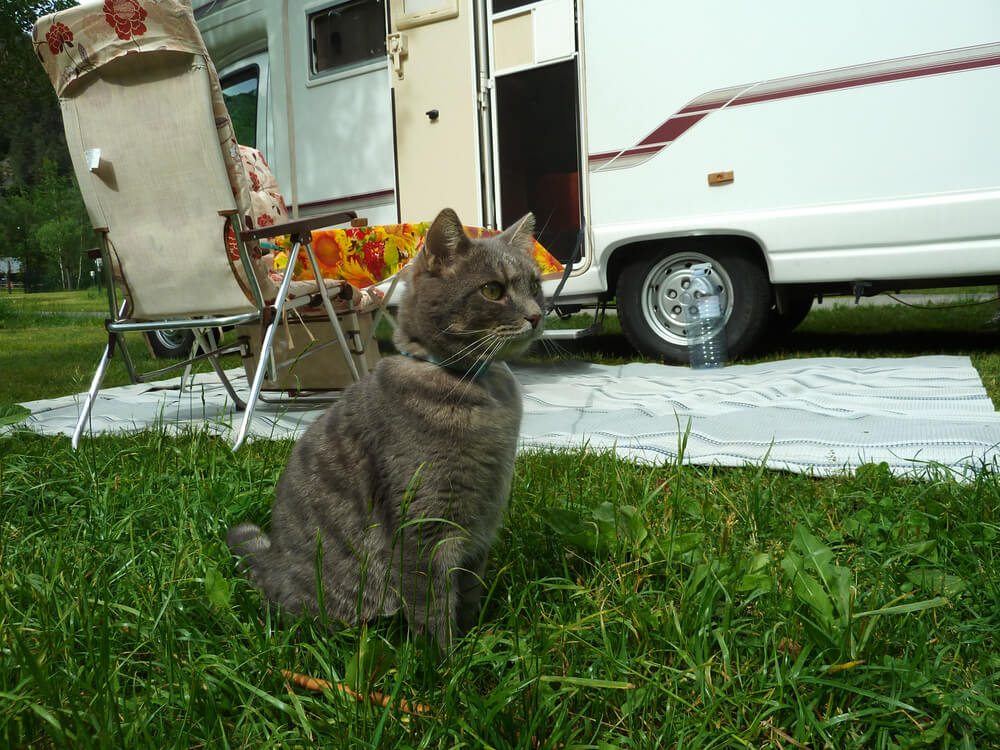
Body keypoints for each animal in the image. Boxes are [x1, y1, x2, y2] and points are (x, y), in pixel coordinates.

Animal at [226, 209, 544, 656]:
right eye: (493, 290)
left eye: (535, 287)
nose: (537, 315)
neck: (476, 387)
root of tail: (272, 566)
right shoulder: (425, 526)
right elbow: (432, 609)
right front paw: (446, 665)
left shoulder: (479, 530)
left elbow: (467, 595)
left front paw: (474, 641)